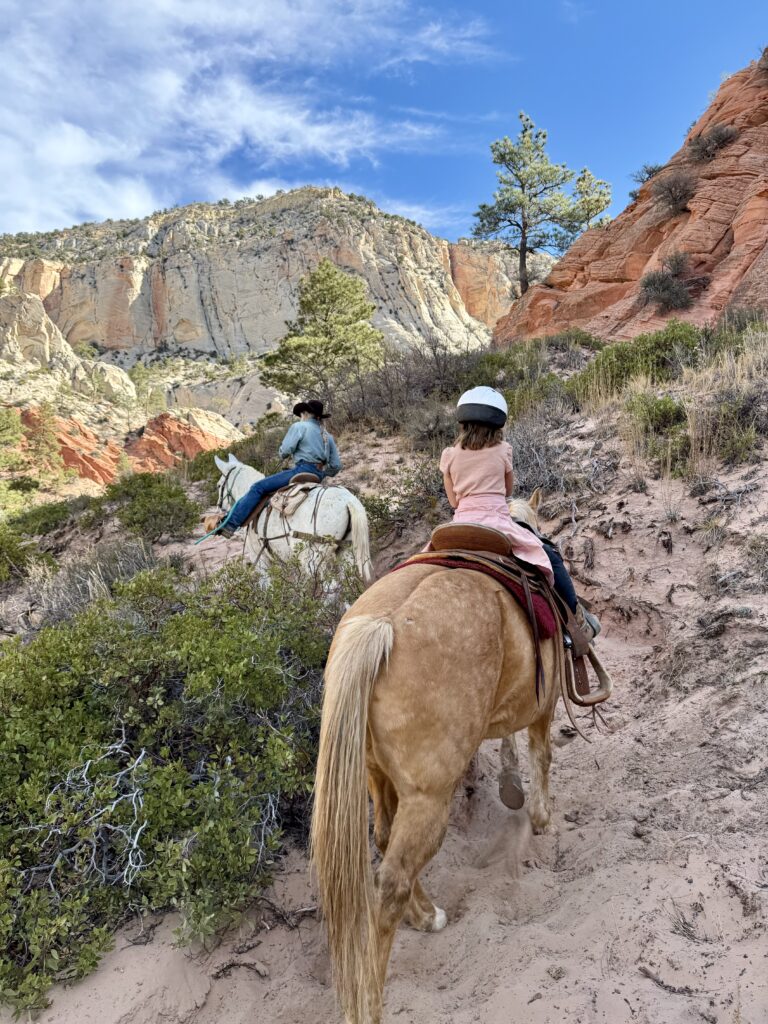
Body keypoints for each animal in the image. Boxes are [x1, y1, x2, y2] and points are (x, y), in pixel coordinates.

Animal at [212, 454, 373, 583]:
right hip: (346, 552)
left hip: (313, 559)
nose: (219, 507)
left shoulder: (261, 560)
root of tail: (348, 501)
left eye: (219, 485)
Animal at [310, 489, 562, 1024]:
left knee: (386, 842)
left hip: (378, 777)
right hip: (429, 798)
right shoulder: (544, 703)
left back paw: (427, 917)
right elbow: (541, 753)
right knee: (391, 881)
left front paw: (512, 784)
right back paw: (371, 1003)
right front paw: (540, 816)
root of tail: (380, 627)